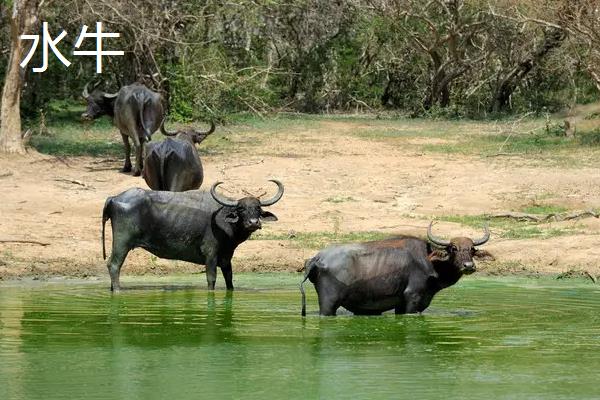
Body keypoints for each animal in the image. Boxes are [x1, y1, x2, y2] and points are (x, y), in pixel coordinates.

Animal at [101, 180, 284, 290]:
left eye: (258, 208)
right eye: (241, 209)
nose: (253, 222)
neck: (222, 221)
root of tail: (113, 198)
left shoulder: (226, 258)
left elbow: (229, 280)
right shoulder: (210, 255)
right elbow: (211, 279)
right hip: (122, 243)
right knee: (114, 265)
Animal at [300, 222, 492, 316]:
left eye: (472, 249)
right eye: (453, 248)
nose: (468, 266)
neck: (429, 260)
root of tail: (317, 258)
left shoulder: (401, 304)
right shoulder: (412, 298)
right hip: (328, 304)